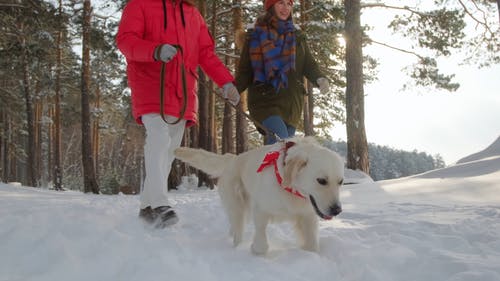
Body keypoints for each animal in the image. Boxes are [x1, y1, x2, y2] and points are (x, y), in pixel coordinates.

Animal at [173, 136, 344, 254]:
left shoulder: (307, 216)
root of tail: (233, 158)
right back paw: (236, 247)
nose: (337, 210)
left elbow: (313, 246)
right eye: (321, 181)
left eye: (341, 182)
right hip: (237, 206)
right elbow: (262, 242)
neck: (290, 188)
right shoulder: (261, 210)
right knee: (238, 229)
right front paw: (256, 250)